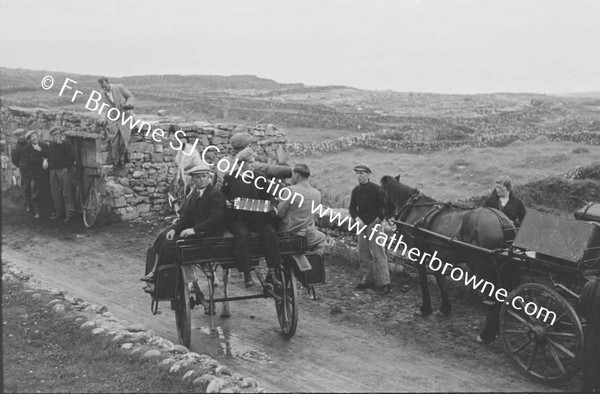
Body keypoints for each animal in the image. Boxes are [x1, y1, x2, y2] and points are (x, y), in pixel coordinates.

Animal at [380, 175, 516, 318]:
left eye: (380, 191)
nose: (384, 213)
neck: (414, 208)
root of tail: (501, 220)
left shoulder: (419, 255)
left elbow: (424, 281)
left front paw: (425, 308)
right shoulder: (436, 257)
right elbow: (441, 281)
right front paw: (444, 308)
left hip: (483, 264)